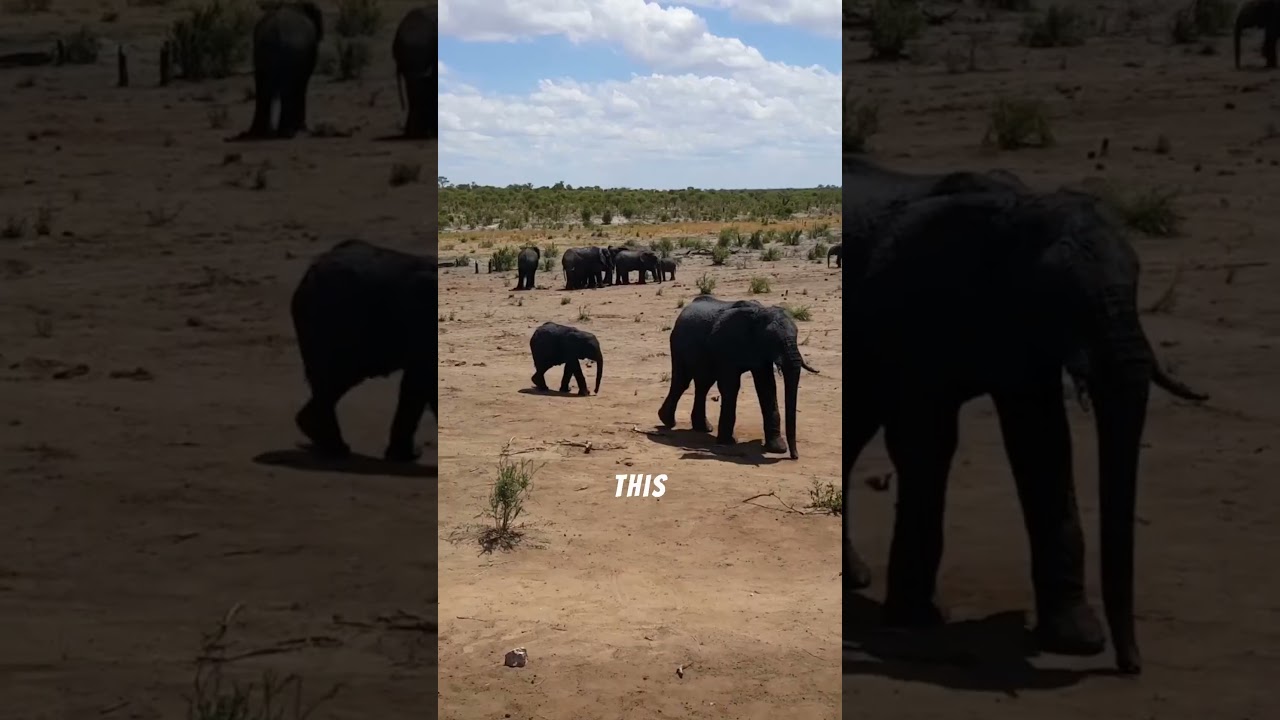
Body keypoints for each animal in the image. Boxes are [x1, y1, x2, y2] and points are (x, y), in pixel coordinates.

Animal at [240, 1, 324, 139]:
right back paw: (286, 133)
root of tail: (277, 32)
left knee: (262, 88)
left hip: (261, 52)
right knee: (289, 88)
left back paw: (258, 133)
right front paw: (301, 128)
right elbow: (303, 85)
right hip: (291, 51)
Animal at [290, 239, 437, 462]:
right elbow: (421, 382)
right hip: (335, 324)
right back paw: (336, 448)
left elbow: (416, 385)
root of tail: (313, 268)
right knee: (334, 378)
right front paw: (405, 457)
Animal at [658, 295, 819, 459]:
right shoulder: (727, 345)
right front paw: (728, 441)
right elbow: (731, 386)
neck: (760, 313)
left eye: (797, 334)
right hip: (677, 344)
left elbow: (766, 386)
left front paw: (777, 448)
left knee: (703, 384)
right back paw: (668, 421)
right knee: (682, 382)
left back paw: (703, 428)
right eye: (773, 340)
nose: (794, 456)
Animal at [841, 189, 1208, 675]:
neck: (1014, 215)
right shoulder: (914, 314)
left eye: (1136, 282)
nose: (1130, 665)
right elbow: (927, 441)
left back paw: (853, 576)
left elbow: (1042, 442)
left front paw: (1077, 639)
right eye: (1062, 298)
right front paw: (917, 618)